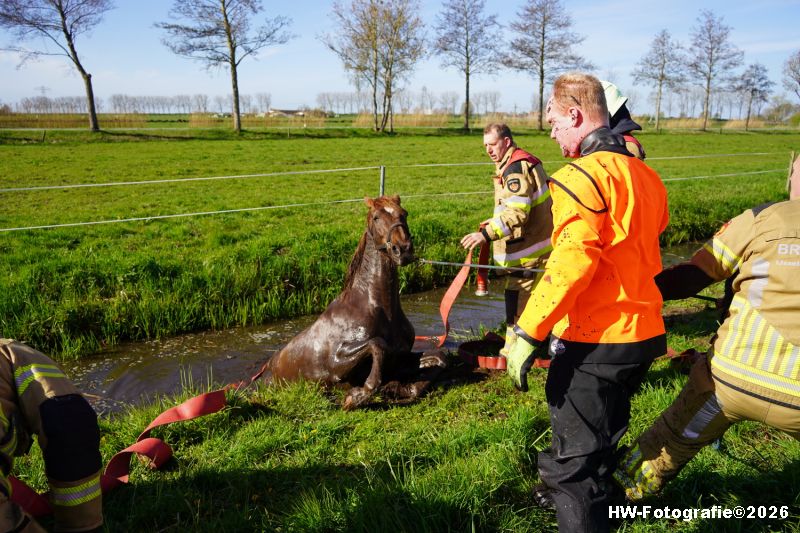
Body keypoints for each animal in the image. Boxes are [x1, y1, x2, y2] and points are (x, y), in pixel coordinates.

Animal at [267, 195, 443, 410]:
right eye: (376, 217)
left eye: (404, 213)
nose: (403, 250)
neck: (378, 308)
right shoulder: (337, 364)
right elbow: (377, 345)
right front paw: (359, 394)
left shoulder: (399, 358)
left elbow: (440, 357)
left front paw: (401, 389)